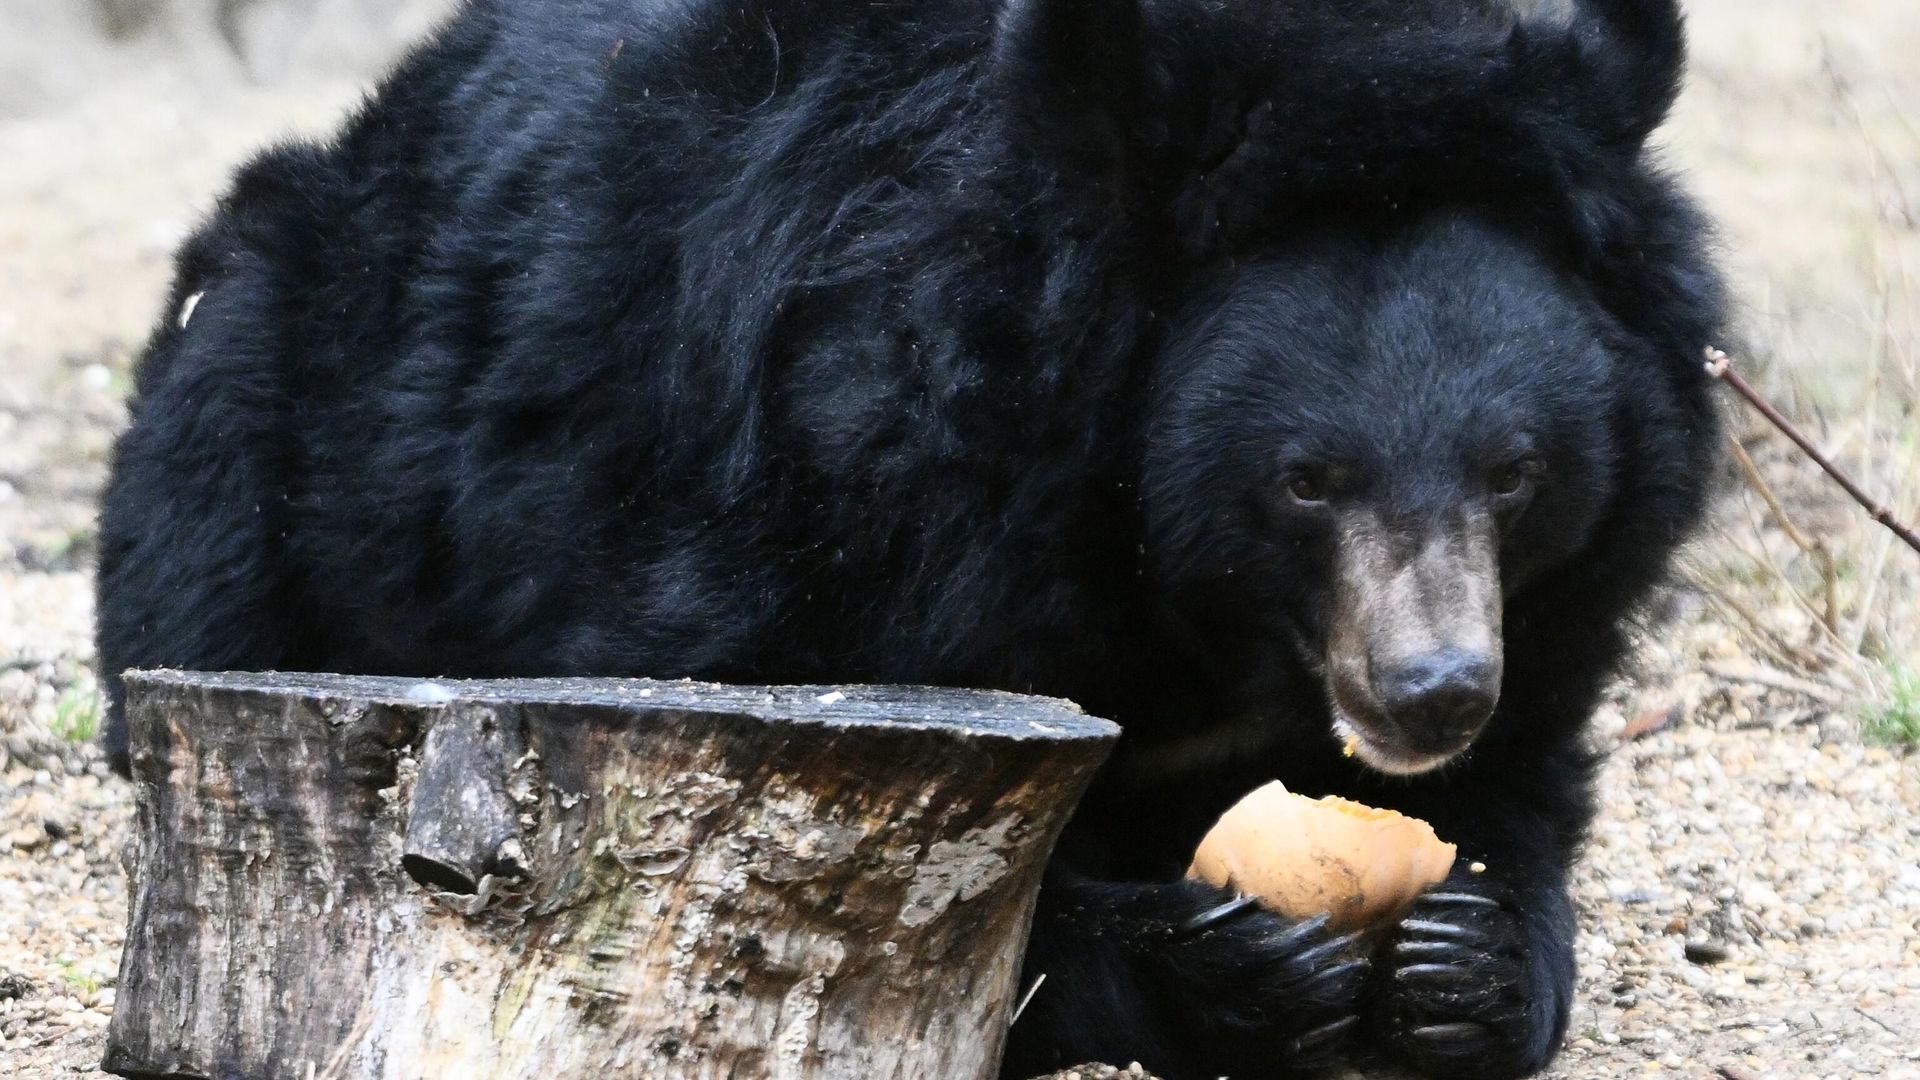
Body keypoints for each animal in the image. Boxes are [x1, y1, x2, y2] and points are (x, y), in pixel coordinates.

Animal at [95, 0, 1725, 1076]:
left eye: (1516, 473)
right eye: (1308, 481)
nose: (1429, 694)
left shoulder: (1551, 607)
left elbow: (1526, 788)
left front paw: (1472, 958)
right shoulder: (820, 502)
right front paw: (1230, 970)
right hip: (275, 361)